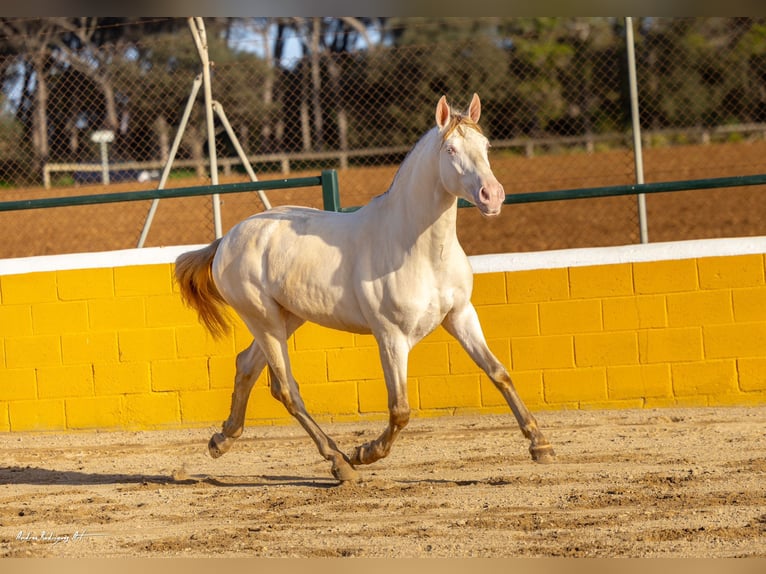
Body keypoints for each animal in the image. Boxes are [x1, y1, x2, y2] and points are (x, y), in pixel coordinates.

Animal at [176, 93, 556, 482]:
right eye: (450, 149)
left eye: (486, 145)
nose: (492, 196)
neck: (416, 248)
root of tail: (227, 239)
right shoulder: (391, 336)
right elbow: (400, 408)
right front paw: (364, 452)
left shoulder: (461, 316)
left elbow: (499, 373)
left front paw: (540, 446)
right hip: (263, 319)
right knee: (286, 388)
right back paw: (340, 462)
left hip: (287, 317)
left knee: (247, 366)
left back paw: (222, 440)